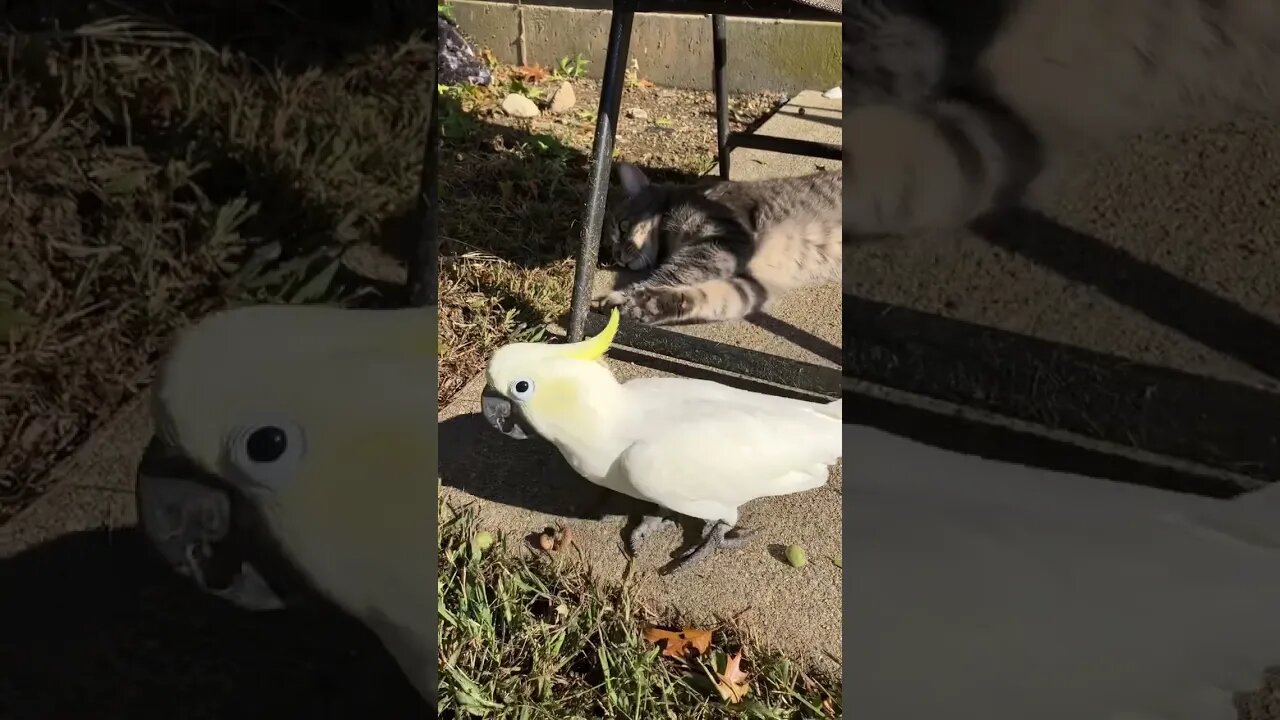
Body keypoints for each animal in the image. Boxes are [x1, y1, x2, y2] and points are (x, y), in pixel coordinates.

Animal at [593, 163, 844, 324]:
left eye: (622, 227)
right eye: (609, 248)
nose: (618, 257)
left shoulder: (725, 238)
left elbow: (676, 272)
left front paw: (626, 295)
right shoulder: (752, 284)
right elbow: (708, 298)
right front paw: (644, 305)